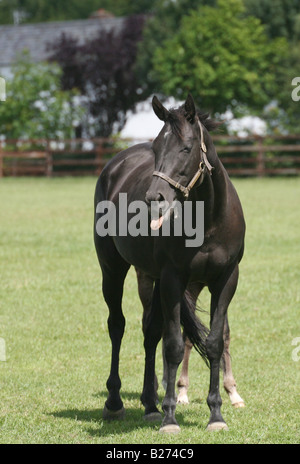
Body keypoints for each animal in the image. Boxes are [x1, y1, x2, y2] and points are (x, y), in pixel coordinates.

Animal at [94, 94, 246, 436]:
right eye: (156, 149)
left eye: (186, 148)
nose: (155, 197)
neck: (208, 220)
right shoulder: (174, 280)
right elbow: (175, 344)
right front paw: (170, 419)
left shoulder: (225, 280)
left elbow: (214, 342)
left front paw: (216, 414)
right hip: (113, 269)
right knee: (117, 326)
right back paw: (115, 402)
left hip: (152, 277)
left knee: (150, 332)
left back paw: (150, 404)